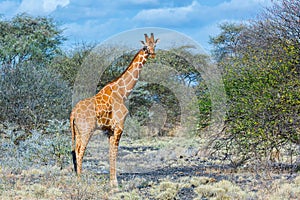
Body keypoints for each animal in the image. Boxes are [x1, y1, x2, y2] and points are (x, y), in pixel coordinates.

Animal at [69, 32, 159, 188]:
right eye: (146, 46)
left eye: (155, 45)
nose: (152, 54)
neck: (123, 92)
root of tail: (73, 113)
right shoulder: (119, 126)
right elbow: (114, 153)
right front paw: (115, 182)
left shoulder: (109, 130)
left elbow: (110, 153)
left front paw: (112, 181)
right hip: (87, 130)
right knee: (80, 151)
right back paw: (80, 180)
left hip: (78, 131)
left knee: (76, 150)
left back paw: (78, 177)